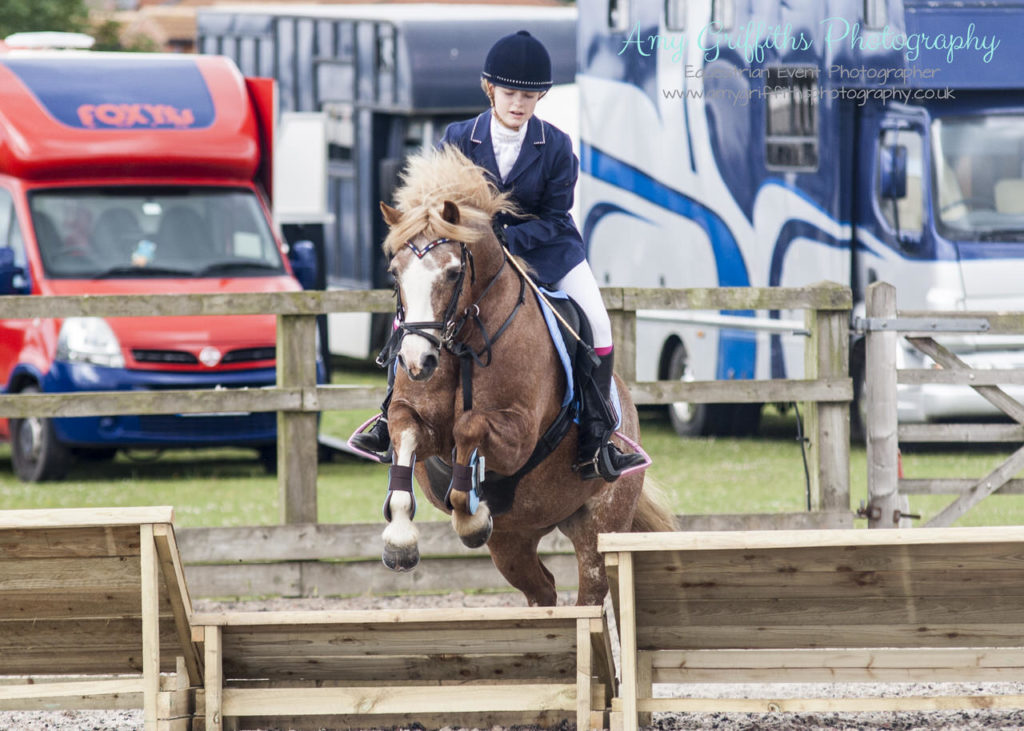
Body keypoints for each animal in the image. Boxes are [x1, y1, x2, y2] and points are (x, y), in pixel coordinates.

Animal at [376, 143, 671, 602]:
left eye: (454, 273)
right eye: (395, 273)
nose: (417, 361)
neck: (462, 344)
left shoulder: (518, 434)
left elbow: (469, 427)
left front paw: (470, 515)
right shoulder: (415, 419)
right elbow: (406, 436)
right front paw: (400, 541)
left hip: (600, 522)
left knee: (591, 591)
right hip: (513, 539)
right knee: (542, 590)